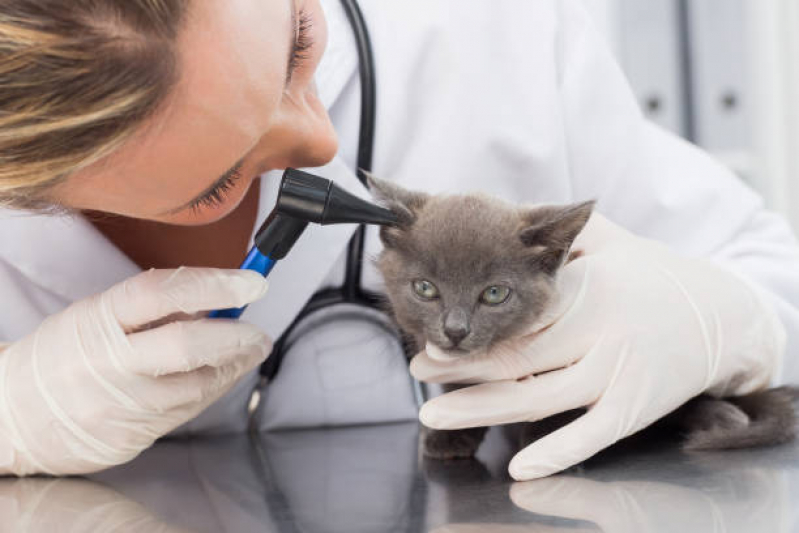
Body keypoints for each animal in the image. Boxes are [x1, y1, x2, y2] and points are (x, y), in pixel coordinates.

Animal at [368, 176, 799, 462]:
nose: (455, 330)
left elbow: (556, 398)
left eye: (494, 294)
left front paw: (543, 440)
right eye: (425, 288)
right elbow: (458, 390)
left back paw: (722, 416)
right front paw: (449, 436)